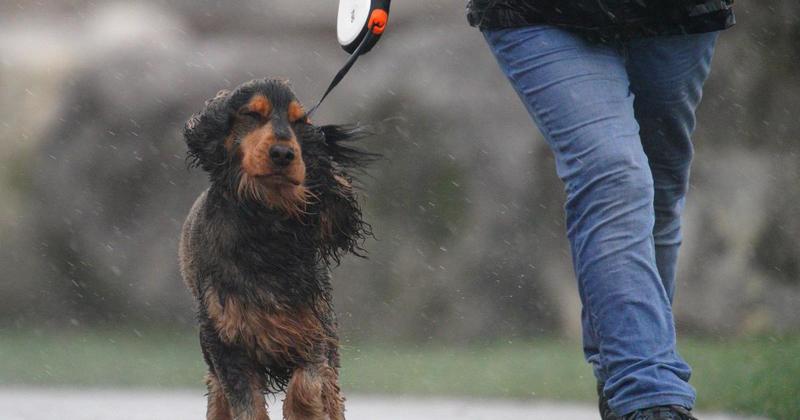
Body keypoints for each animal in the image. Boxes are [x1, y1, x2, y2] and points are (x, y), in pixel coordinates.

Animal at [180, 79, 374, 420]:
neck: (265, 221)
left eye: (299, 122)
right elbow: (246, 404)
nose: (284, 153)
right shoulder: (226, 343)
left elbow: (307, 385)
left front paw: (305, 412)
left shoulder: (312, 331)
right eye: (252, 115)